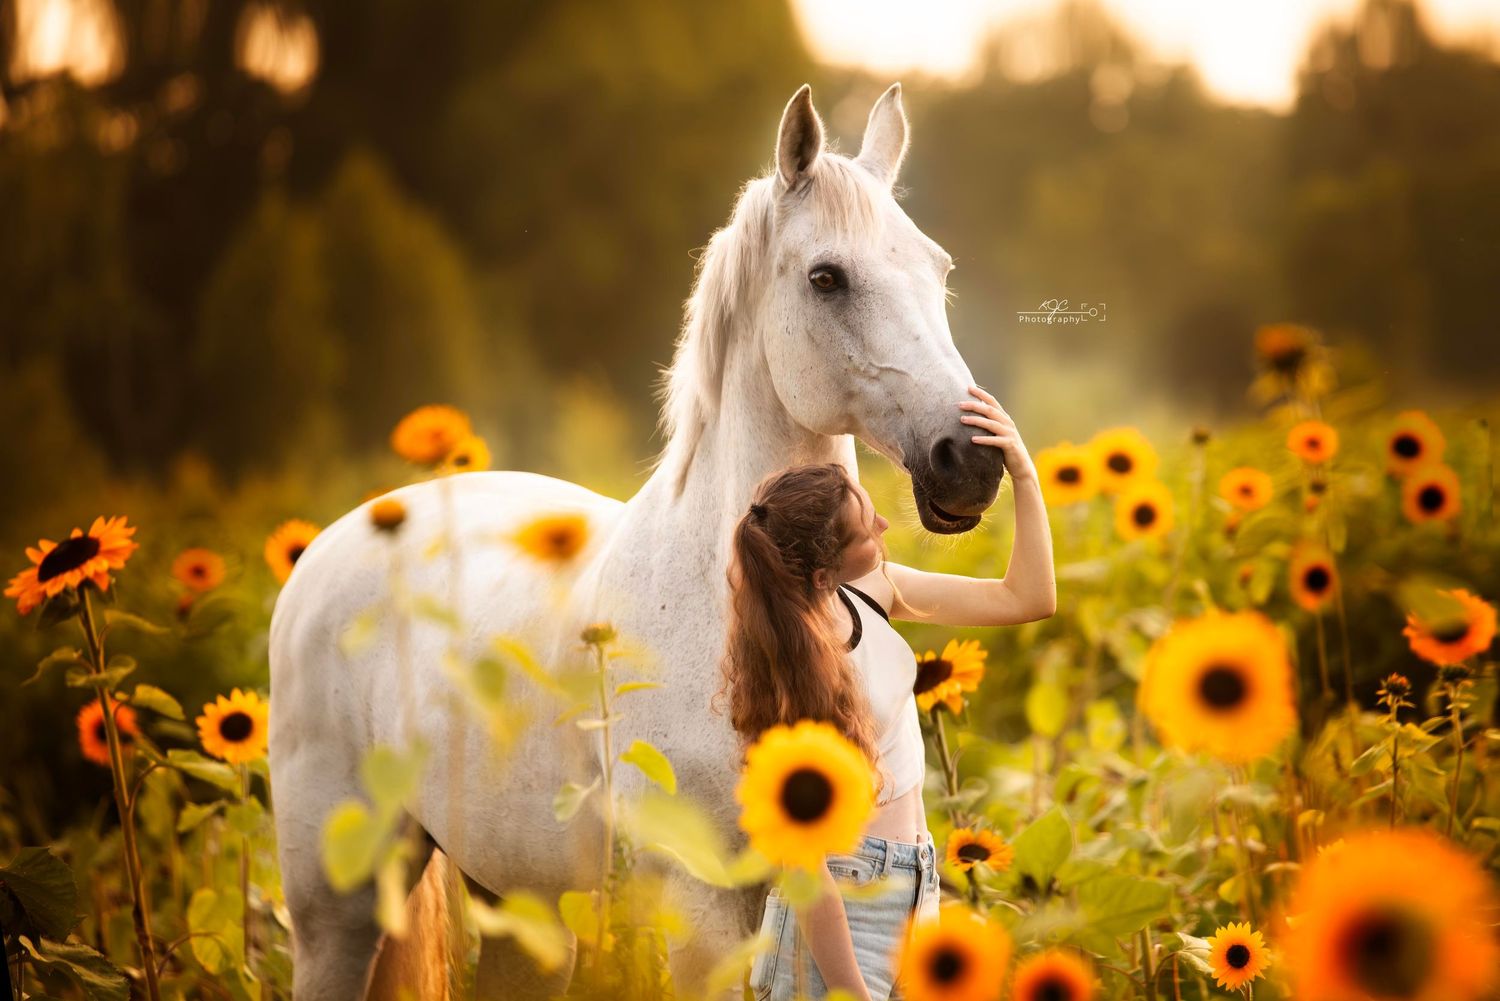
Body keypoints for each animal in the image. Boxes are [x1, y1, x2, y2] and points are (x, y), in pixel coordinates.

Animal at [267, 81, 1006, 999]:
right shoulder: (701, 902)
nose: (970, 461)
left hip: (523, 905)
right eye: (826, 278)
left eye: (938, 270)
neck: (721, 593)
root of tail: (331, 548)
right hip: (339, 901)